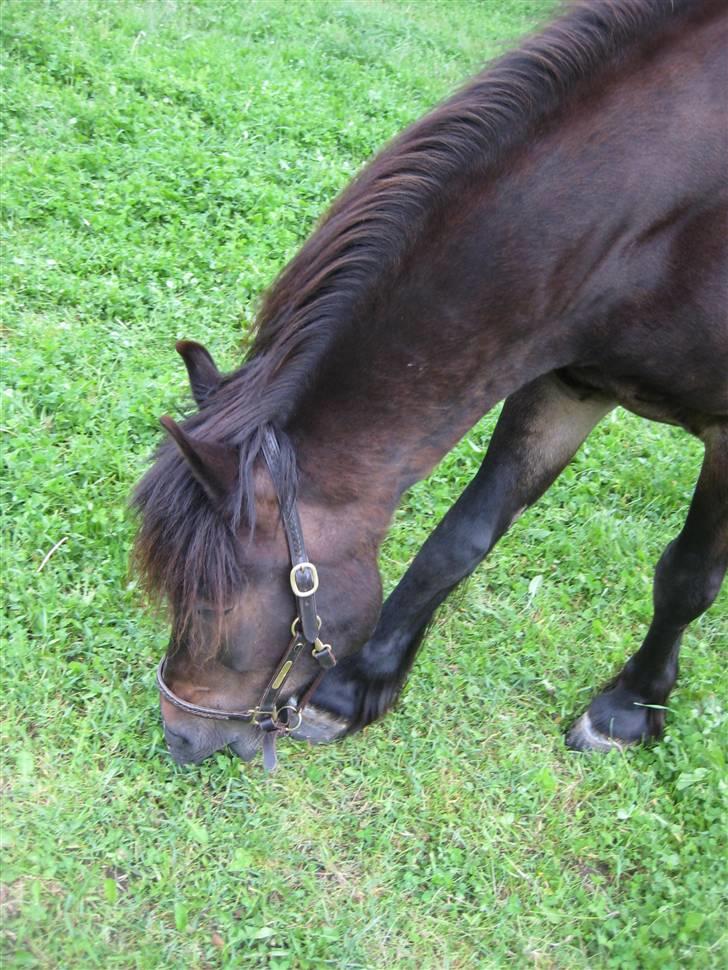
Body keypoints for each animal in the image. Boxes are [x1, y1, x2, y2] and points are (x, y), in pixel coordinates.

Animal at [132, 0, 728, 768]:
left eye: (210, 602)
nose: (180, 735)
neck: (667, 208)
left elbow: (686, 578)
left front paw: (628, 709)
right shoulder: (565, 384)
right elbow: (460, 538)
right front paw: (355, 688)